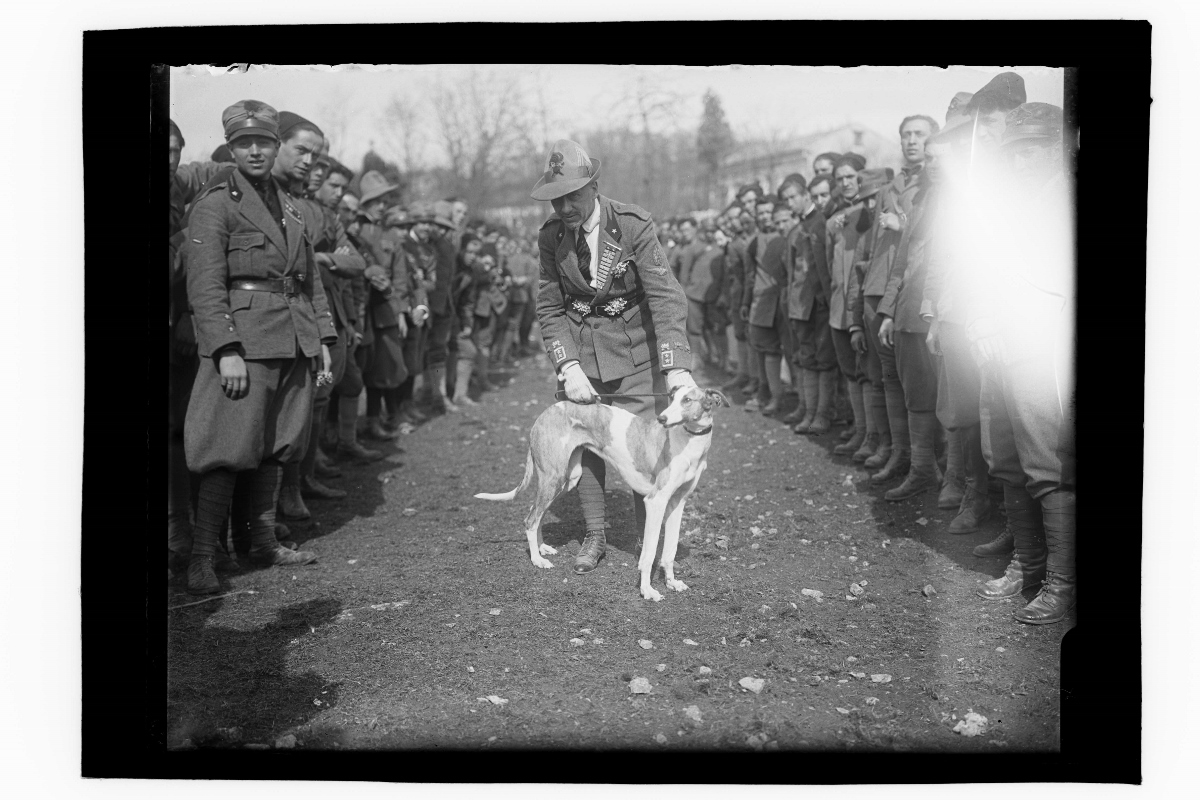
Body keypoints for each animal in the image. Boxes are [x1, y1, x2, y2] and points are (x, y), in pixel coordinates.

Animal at [472, 386, 724, 599]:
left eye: (687, 400)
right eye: (673, 398)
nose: (662, 419)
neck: (687, 441)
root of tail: (544, 414)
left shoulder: (677, 503)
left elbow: (670, 550)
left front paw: (672, 582)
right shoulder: (656, 501)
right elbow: (650, 553)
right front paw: (647, 590)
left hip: (566, 480)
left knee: (537, 515)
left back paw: (543, 549)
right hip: (552, 477)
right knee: (530, 519)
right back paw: (537, 560)